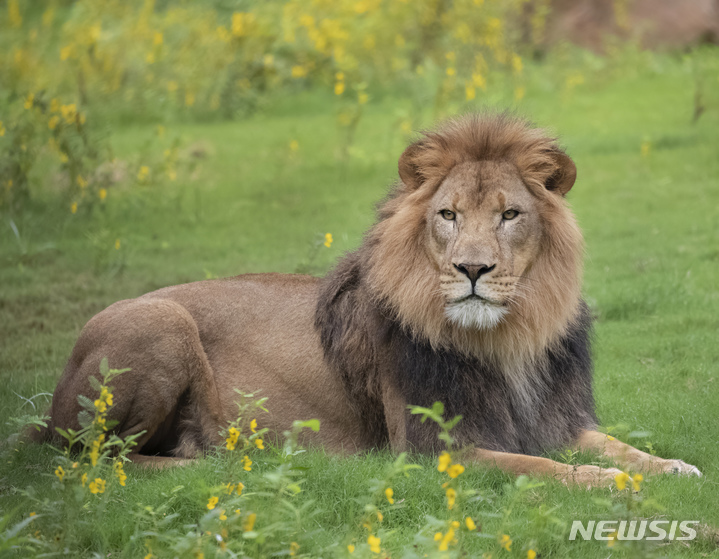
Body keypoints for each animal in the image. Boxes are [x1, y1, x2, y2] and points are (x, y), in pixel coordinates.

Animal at [35, 112, 704, 486]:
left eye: (510, 215)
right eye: (448, 215)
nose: (472, 269)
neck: (506, 339)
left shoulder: (554, 420)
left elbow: (616, 444)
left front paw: (673, 467)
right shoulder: (436, 450)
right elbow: (544, 468)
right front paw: (610, 482)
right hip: (160, 321)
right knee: (92, 458)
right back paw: (215, 461)